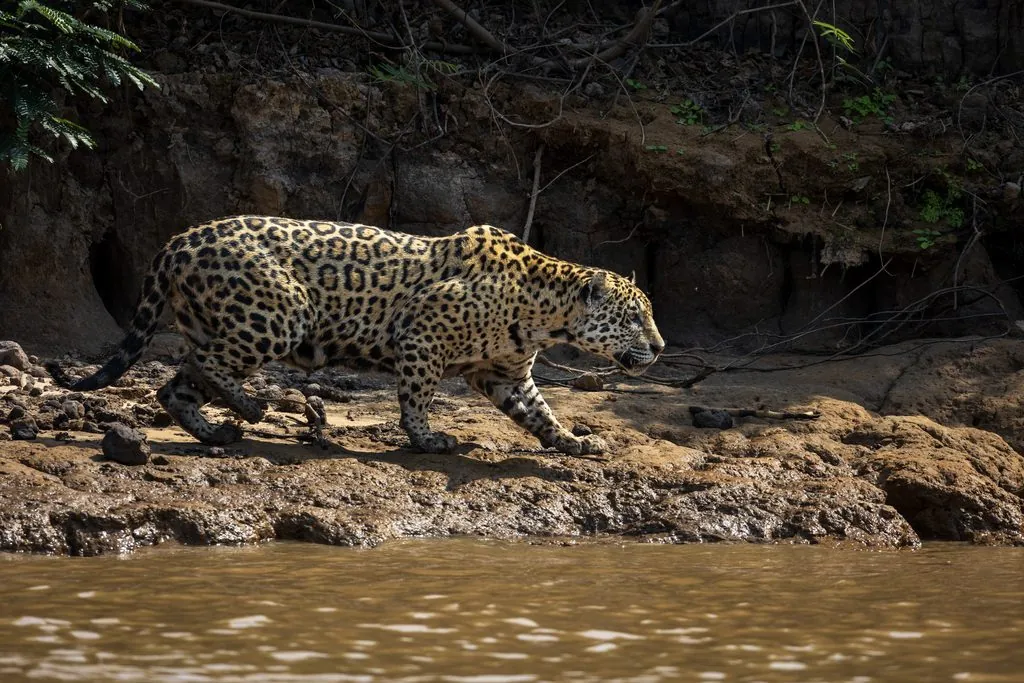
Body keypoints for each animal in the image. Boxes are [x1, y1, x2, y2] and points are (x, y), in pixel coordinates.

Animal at [48, 216, 665, 455]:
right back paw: (252, 408)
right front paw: (427, 439)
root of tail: (179, 239)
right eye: (636, 317)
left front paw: (574, 441)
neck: (545, 310)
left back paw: (218, 430)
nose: (660, 348)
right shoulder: (423, 334)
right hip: (281, 314)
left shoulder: (506, 373)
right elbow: (416, 397)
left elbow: (540, 411)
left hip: (225, 323)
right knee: (209, 367)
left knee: (175, 383)